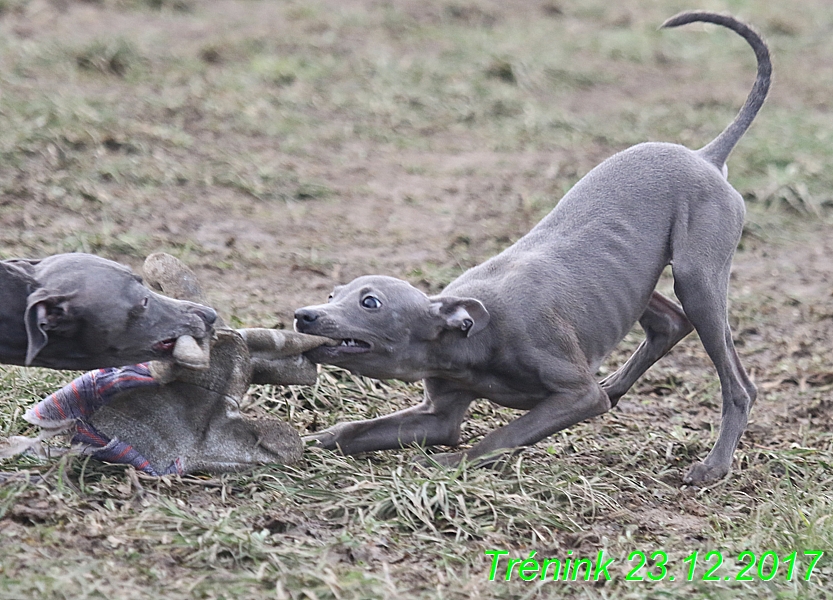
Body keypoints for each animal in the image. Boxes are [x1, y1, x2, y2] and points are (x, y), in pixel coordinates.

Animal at [296, 11, 772, 486]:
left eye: (370, 302)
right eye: (332, 293)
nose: (304, 315)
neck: (472, 335)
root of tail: (705, 156)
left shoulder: (578, 395)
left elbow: (501, 436)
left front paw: (445, 466)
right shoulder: (438, 414)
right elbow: (355, 431)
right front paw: (309, 441)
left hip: (697, 278)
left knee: (737, 384)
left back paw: (714, 465)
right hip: (637, 280)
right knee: (670, 323)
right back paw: (619, 387)